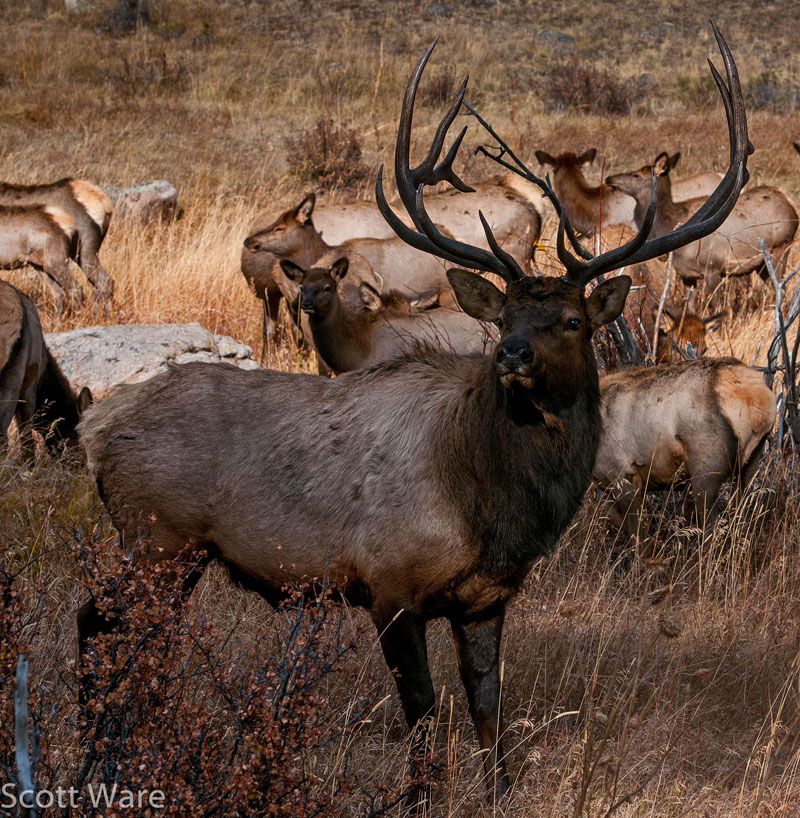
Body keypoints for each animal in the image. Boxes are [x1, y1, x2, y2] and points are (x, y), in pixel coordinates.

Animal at [594, 357, 775, 540]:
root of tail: (758, 398)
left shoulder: (621, 476)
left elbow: (637, 533)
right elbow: (611, 515)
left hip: (706, 468)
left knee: (710, 528)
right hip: (751, 462)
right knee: (741, 517)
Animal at [606, 151, 798, 290]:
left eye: (636, 175)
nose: (609, 178)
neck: (668, 224)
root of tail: (788, 199)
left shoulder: (713, 267)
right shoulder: (686, 275)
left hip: (781, 248)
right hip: (762, 264)